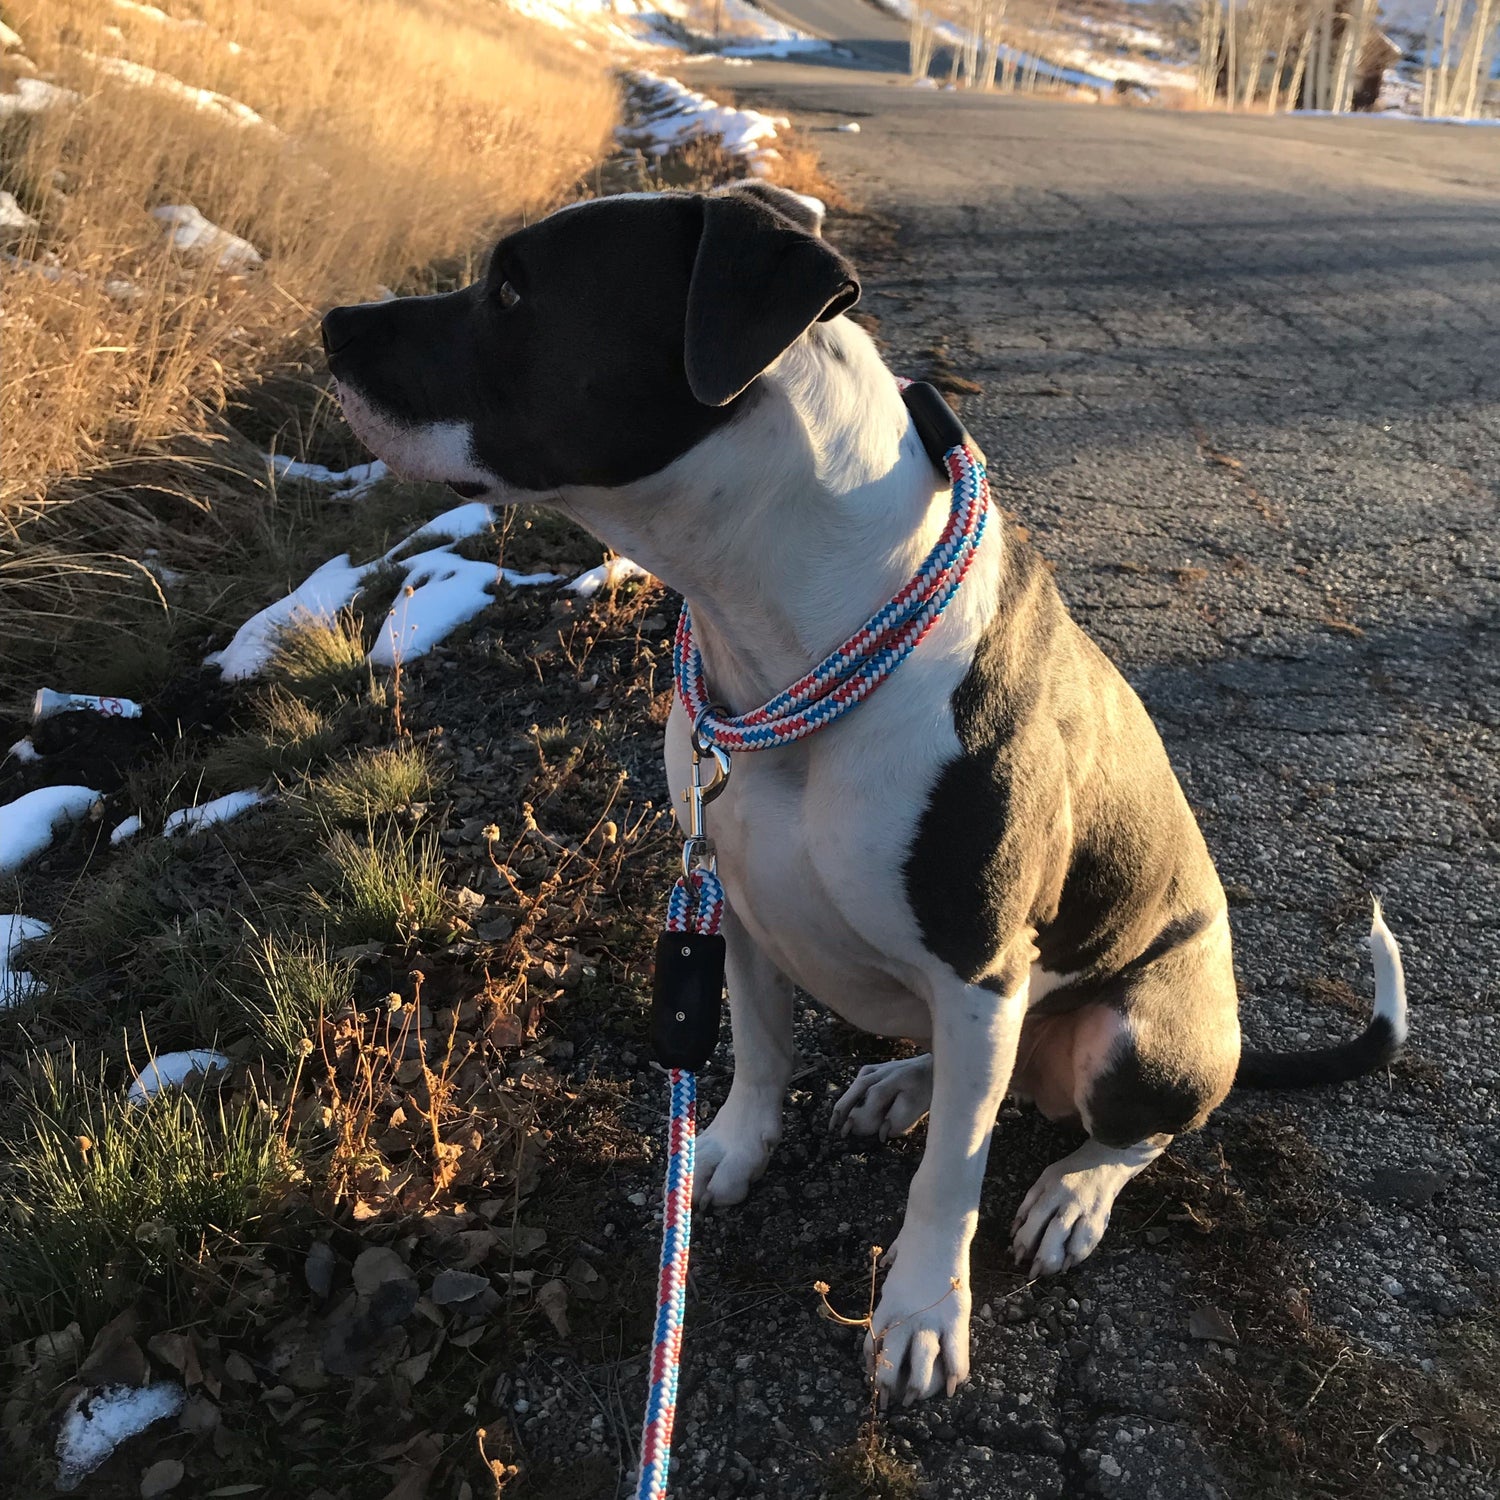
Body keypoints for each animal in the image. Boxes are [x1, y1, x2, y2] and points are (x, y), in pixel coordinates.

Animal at [322, 184, 1410, 1404]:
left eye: (513, 290)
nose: (329, 327)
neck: (792, 632)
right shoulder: (736, 906)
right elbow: (760, 1052)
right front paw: (728, 1151)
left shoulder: (978, 961)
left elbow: (950, 1180)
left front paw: (924, 1312)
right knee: (982, 1077)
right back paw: (906, 1085)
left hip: (1140, 1033)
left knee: (1131, 1129)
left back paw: (1073, 1191)